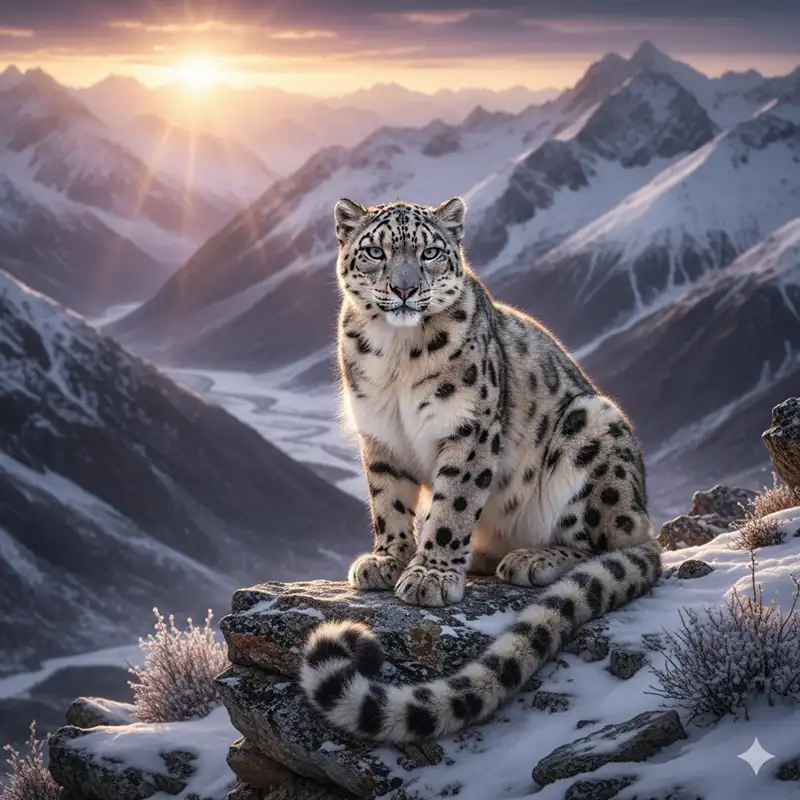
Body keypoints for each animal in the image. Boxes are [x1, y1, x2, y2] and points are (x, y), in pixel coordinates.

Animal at [299, 196, 662, 743]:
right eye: (374, 252)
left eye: (429, 252)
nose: (405, 288)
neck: (396, 356)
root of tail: (643, 511)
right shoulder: (379, 435)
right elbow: (388, 501)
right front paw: (388, 559)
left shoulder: (469, 428)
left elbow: (453, 505)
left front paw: (430, 574)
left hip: (591, 429)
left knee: (602, 543)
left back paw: (533, 559)